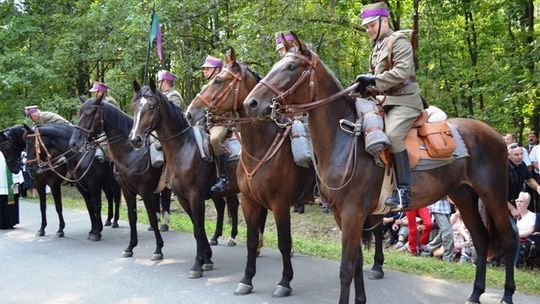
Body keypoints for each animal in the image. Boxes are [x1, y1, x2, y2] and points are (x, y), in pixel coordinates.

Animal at [127, 79, 246, 278]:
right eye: (134, 106)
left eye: (152, 106)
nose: (135, 139)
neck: (183, 147)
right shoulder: (183, 198)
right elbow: (198, 228)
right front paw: (207, 259)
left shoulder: (195, 196)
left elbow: (198, 229)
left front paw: (197, 265)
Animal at [188, 49, 386, 296]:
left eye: (218, 80)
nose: (190, 113)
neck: (262, 148)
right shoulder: (250, 202)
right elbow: (251, 240)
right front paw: (246, 279)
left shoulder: (280, 204)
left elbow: (284, 242)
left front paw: (284, 281)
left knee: (378, 230)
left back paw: (377, 266)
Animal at [244, 33, 516, 304]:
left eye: (291, 66)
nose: (251, 103)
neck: (343, 140)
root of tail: (495, 135)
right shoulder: (343, 215)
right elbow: (356, 262)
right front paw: (361, 299)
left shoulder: (352, 213)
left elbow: (346, 267)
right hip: (463, 195)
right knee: (481, 239)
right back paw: (475, 293)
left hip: (493, 195)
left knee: (508, 239)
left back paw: (506, 295)